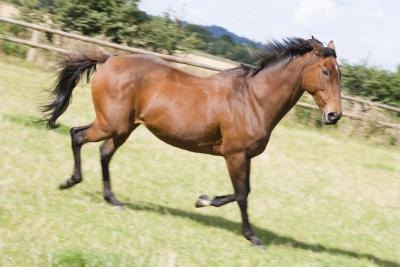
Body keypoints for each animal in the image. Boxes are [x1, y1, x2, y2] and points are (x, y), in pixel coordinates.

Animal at [43, 37, 344, 247]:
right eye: (325, 72)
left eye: (339, 73)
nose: (334, 115)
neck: (253, 100)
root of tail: (108, 60)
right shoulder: (235, 154)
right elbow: (242, 194)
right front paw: (251, 236)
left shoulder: (242, 156)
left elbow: (240, 192)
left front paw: (203, 200)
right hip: (111, 125)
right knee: (77, 135)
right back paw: (70, 181)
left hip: (123, 129)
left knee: (104, 153)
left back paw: (113, 200)